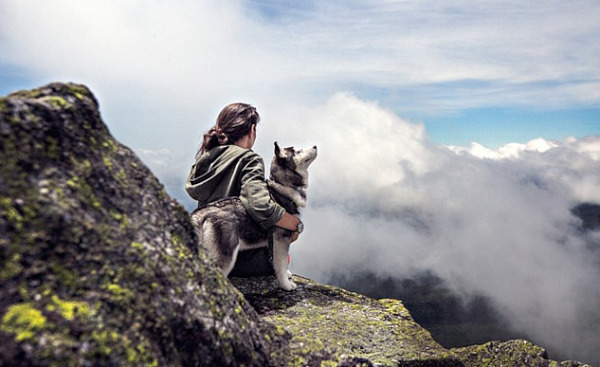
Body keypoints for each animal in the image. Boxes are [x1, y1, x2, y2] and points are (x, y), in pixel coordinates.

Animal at [191, 142, 318, 292]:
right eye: (298, 151)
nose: (315, 146)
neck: (282, 186)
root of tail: (202, 212)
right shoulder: (281, 238)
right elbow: (281, 264)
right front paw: (286, 284)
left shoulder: (273, 243)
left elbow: (278, 263)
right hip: (226, 255)